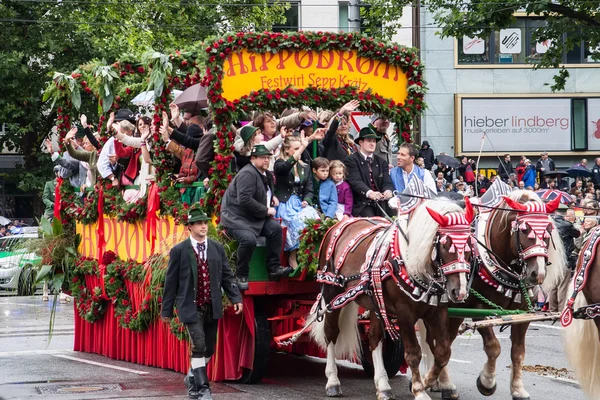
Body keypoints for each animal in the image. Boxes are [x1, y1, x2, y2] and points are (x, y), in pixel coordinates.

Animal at [310, 199, 474, 400]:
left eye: (469, 246)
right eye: (444, 245)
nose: (460, 292)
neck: (409, 262)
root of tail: (337, 225)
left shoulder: (438, 311)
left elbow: (443, 351)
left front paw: (432, 382)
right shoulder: (404, 312)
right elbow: (413, 352)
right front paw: (419, 389)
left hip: (375, 302)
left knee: (374, 338)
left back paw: (383, 386)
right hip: (331, 294)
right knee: (331, 333)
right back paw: (333, 381)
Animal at [424, 190, 564, 400]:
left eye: (548, 230)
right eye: (524, 230)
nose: (537, 274)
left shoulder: (523, 313)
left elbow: (518, 352)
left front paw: (518, 389)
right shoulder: (479, 309)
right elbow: (494, 347)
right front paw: (487, 382)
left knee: (445, 340)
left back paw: (438, 382)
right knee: (436, 342)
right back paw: (446, 384)